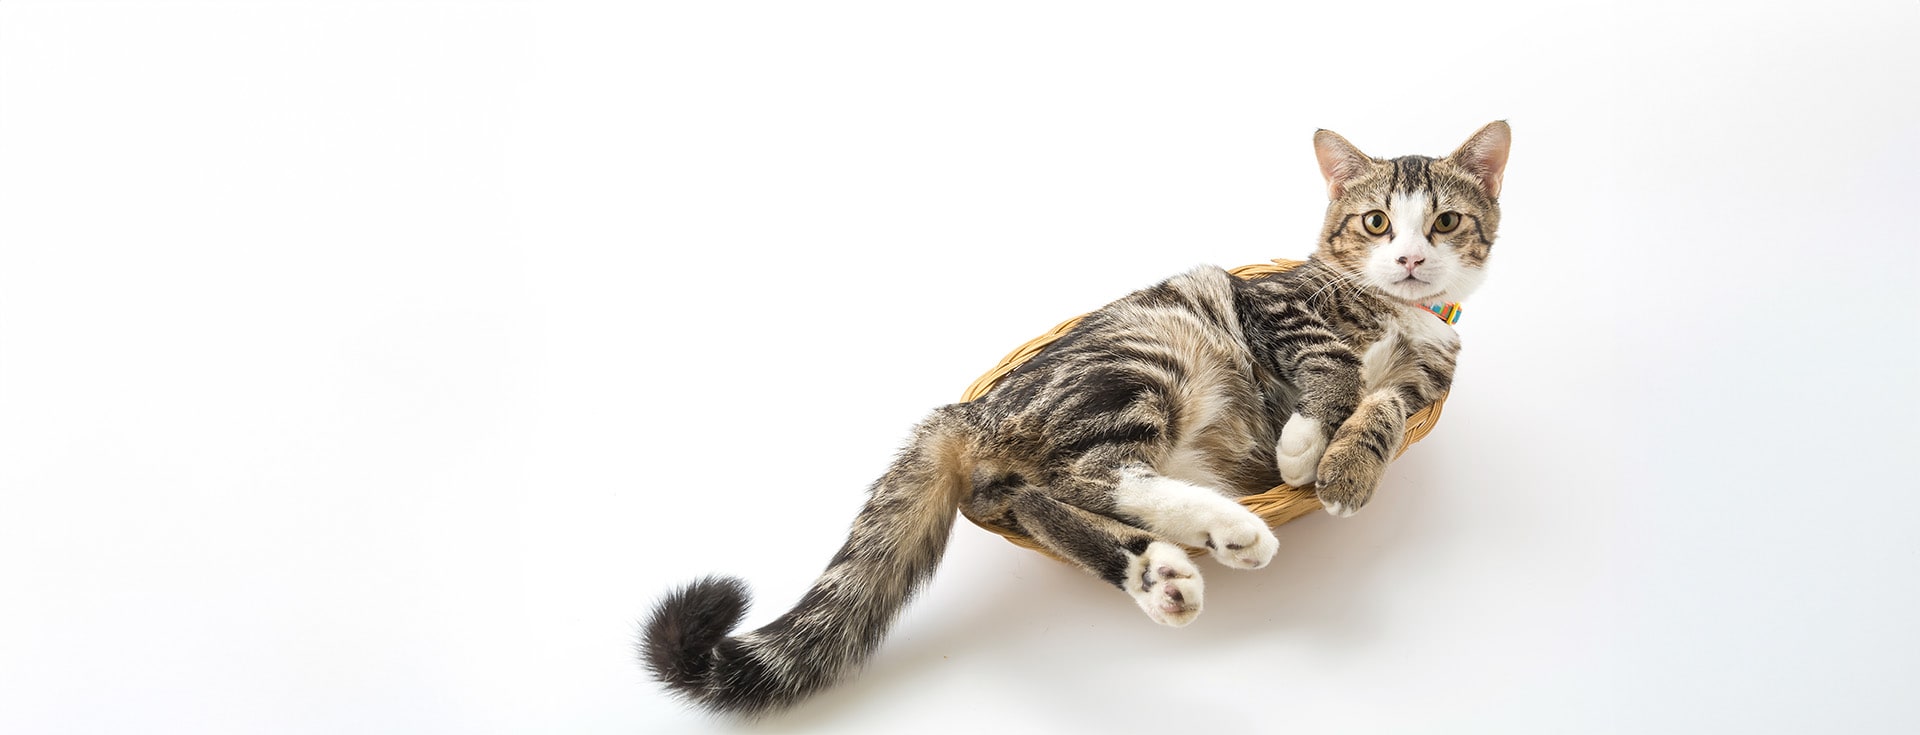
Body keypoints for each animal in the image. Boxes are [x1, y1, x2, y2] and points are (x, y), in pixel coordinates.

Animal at [637, 122, 1505, 721]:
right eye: (1374, 223)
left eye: (1446, 222)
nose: (1411, 260)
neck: (1400, 312)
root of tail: (969, 408)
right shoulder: (1280, 309)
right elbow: (1333, 368)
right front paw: (1305, 448)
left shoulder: (1423, 381)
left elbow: (1383, 404)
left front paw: (1347, 467)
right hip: (1147, 357)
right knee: (1085, 474)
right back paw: (1228, 533)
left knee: (1036, 497)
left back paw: (1160, 573)